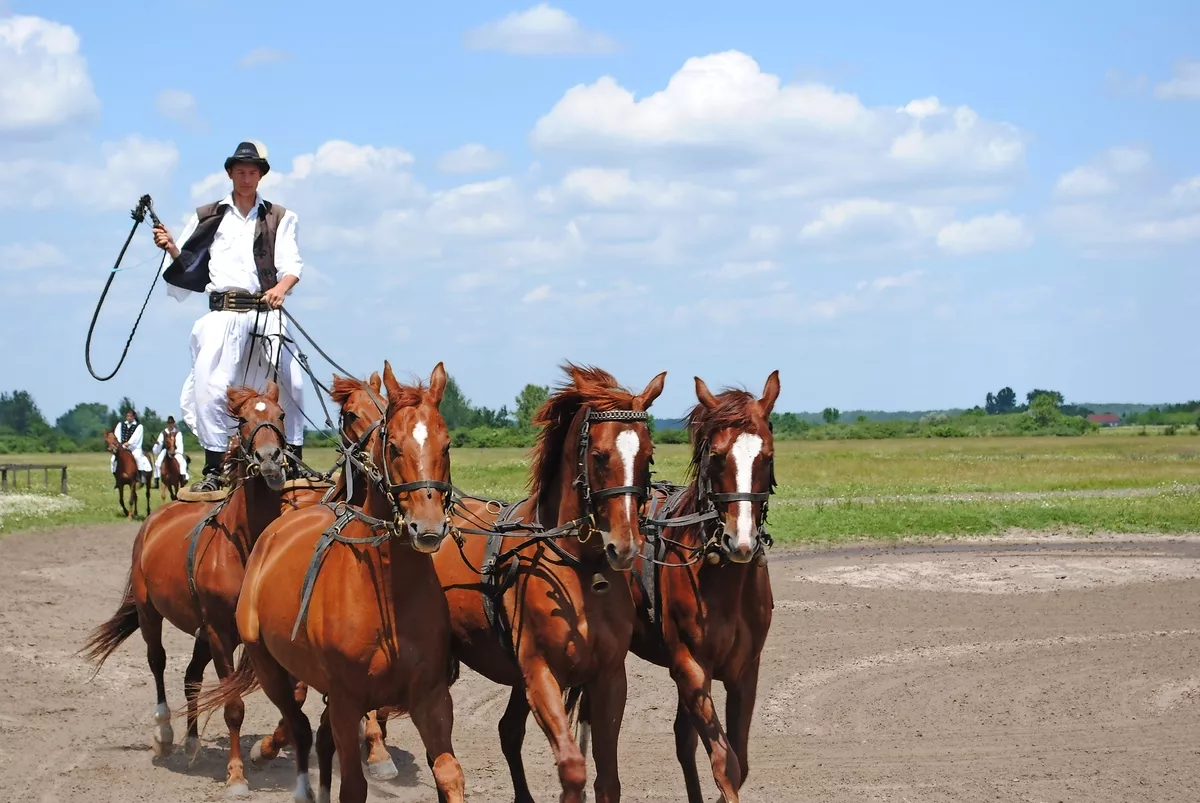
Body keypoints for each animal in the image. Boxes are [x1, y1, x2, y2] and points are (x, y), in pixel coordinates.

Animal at [82, 384, 290, 796]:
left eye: (281, 415)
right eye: (243, 420)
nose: (270, 459)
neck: (244, 544)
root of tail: (154, 522)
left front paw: (265, 751)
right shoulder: (222, 633)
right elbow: (233, 707)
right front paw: (236, 775)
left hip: (200, 632)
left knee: (191, 677)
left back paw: (192, 742)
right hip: (152, 613)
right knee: (158, 662)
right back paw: (164, 734)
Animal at [192, 362, 463, 801]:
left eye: (447, 444)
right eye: (394, 445)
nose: (428, 526)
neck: (388, 591)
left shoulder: (432, 698)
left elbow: (448, 772)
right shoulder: (346, 700)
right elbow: (351, 783)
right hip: (269, 667)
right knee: (299, 726)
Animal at [434, 364, 667, 801]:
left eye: (647, 457)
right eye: (599, 456)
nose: (625, 546)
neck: (582, 572)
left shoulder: (609, 677)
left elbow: (607, 778)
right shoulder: (541, 675)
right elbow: (572, 768)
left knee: (507, 731)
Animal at [624, 372, 782, 801]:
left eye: (767, 456)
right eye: (716, 456)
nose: (740, 542)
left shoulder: (745, 671)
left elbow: (738, 760)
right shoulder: (692, 668)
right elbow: (725, 763)